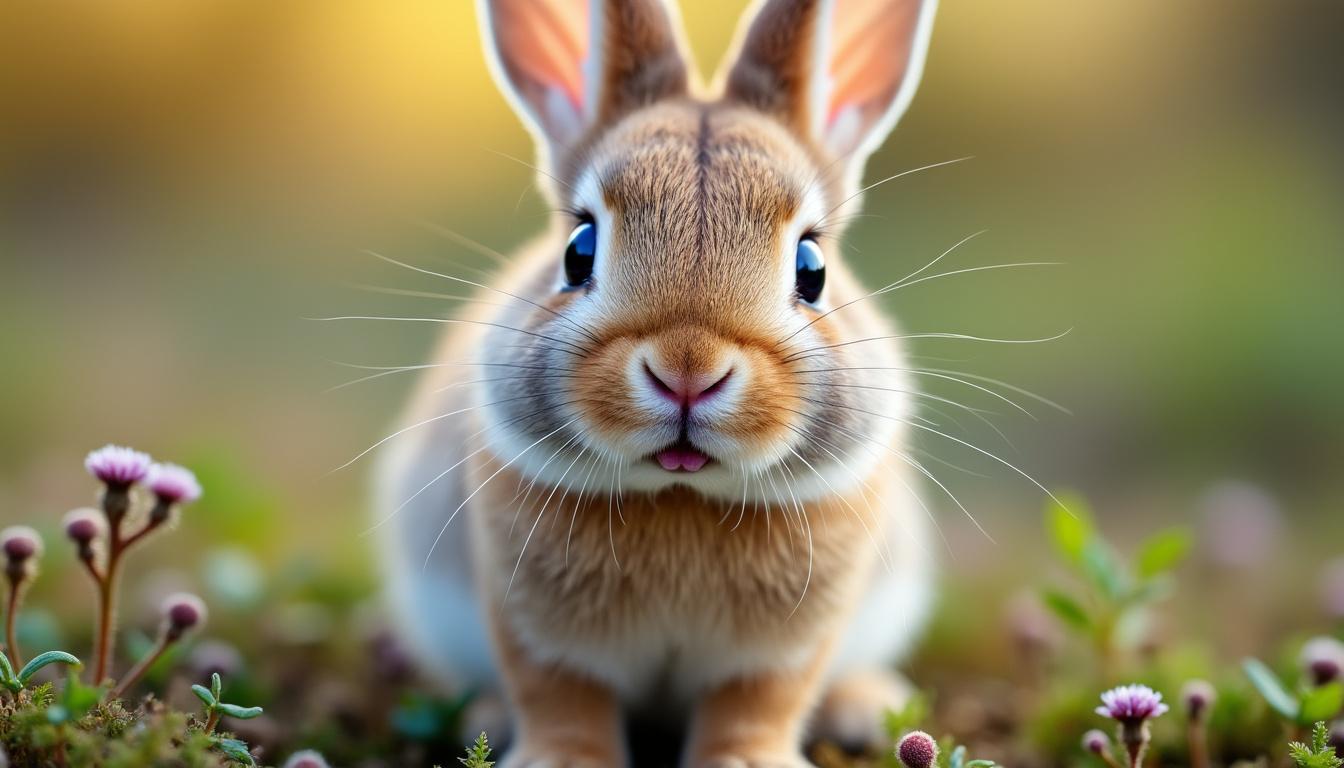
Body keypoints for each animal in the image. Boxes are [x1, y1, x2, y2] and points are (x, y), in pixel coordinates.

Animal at [375, 0, 942, 764]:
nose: (687, 371)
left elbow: (755, 706)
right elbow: (561, 696)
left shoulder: (782, 652)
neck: (680, 494)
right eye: (578, 250)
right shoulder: (535, 629)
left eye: (812, 266)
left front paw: (748, 761)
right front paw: (561, 761)